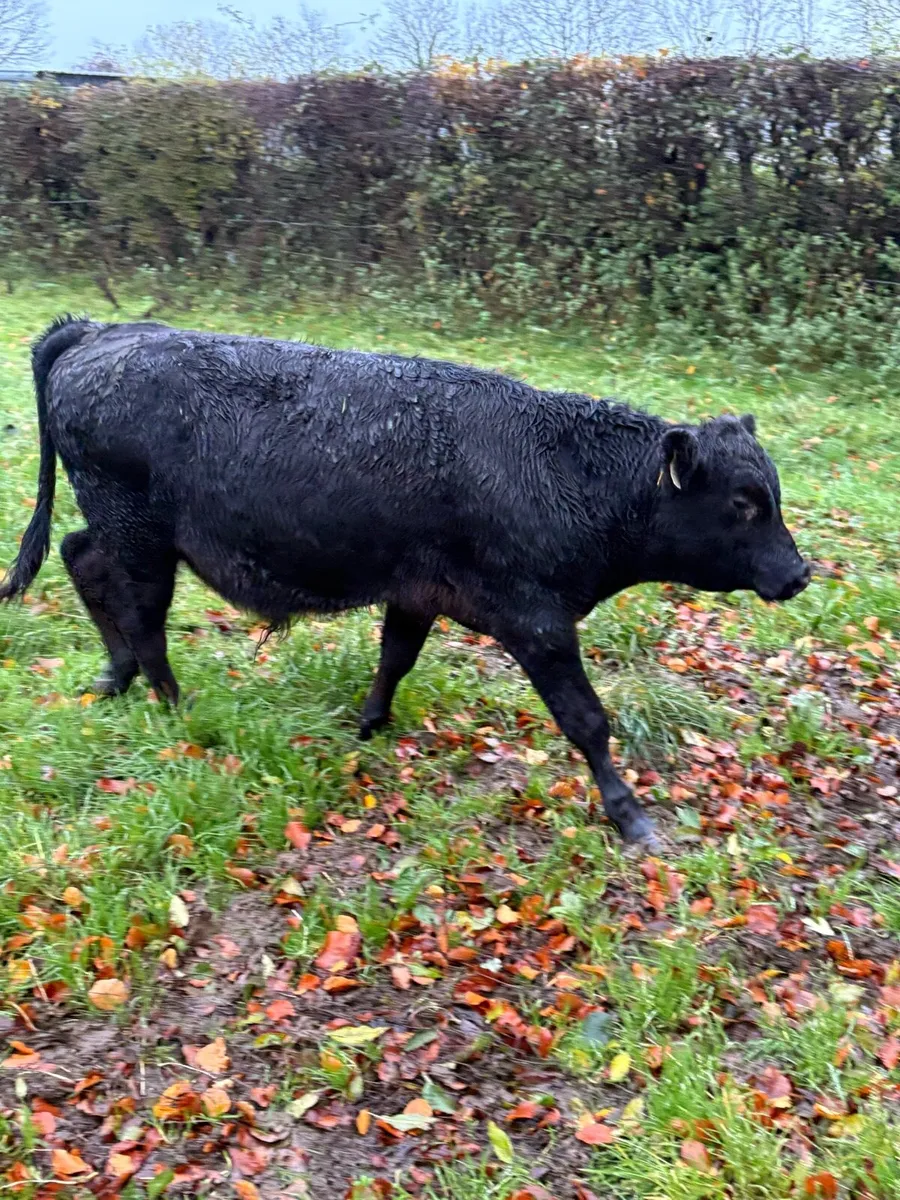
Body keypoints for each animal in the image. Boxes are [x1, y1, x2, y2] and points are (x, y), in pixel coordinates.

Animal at [1, 316, 811, 846]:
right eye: (745, 503)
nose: (800, 573)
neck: (561, 470)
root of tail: (97, 331)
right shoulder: (537, 622)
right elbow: (587, 720)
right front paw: (630, 815)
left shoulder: (417, 594)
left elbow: (394, 659)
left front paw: (368, 725)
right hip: (141, 535)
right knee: (142, 613)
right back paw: (173, 704)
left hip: (120, 527)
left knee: (81, 558)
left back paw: (115, 676)